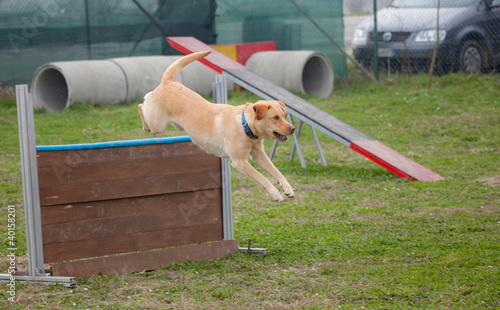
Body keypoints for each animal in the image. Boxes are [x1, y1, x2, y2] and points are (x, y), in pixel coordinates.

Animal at [139, 51, 294, 201]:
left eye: (284, 115)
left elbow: (276, 171)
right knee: (142, 106)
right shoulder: (240, 162)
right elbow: (262, 178)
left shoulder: (259, 155)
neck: (245, 126)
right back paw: (145, 124)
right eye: (275, 117)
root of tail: (169, 80)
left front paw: (287, 188)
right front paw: (275, 194)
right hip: (157, 124)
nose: (292, 128)